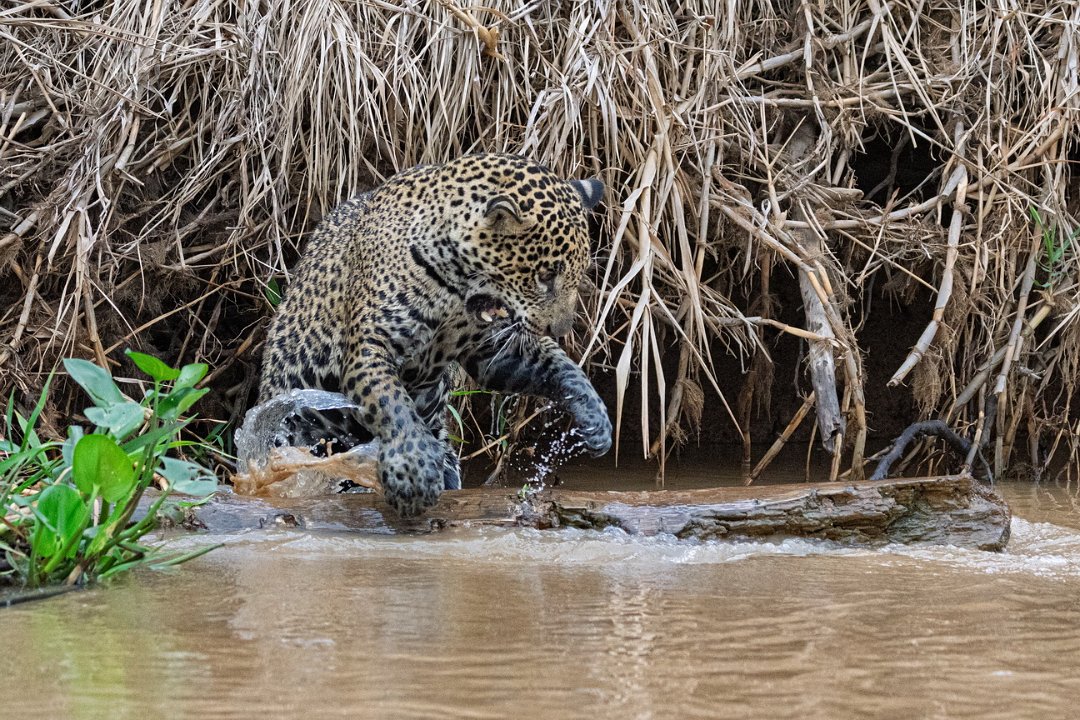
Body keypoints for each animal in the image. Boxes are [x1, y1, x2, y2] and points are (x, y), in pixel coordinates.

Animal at [259, 153, 612, 516]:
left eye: (578, 273)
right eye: (545, 276)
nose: (559, 329)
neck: (458, 286)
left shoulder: (493, 348)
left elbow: (558, 367)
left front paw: (595, 416)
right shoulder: (371, 346)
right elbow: (392, 403)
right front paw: (413, 466)